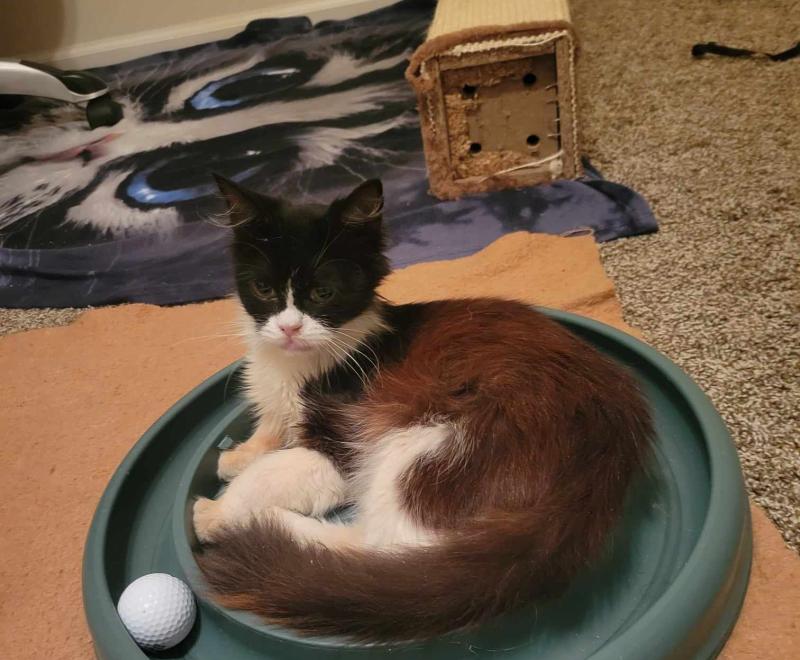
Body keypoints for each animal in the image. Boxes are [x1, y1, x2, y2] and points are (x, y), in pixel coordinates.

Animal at [195, 175, 656, 640]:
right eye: (264, 290)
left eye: (323, 293)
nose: (289, 328)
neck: (297, 364)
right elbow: (270, 431)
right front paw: (239, 456)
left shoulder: (341, 441)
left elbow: (270, 475)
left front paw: (222, 507)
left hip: (427, 443)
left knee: (380, 551)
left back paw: (259, 528)